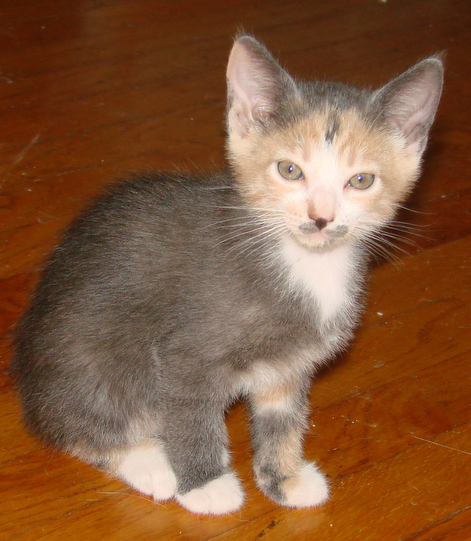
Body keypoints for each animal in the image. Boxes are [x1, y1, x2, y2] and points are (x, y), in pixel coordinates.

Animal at [12, 33, 446, 516]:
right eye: (290, 170)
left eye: (362, 180)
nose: (320, 218)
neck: (305, 264)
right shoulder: (186, 353)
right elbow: (190, 413)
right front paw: (205, 483)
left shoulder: (287, 363)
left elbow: (282, 418)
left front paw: (284, 477)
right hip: (95, 363)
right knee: (78, 427)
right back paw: (152, 464)